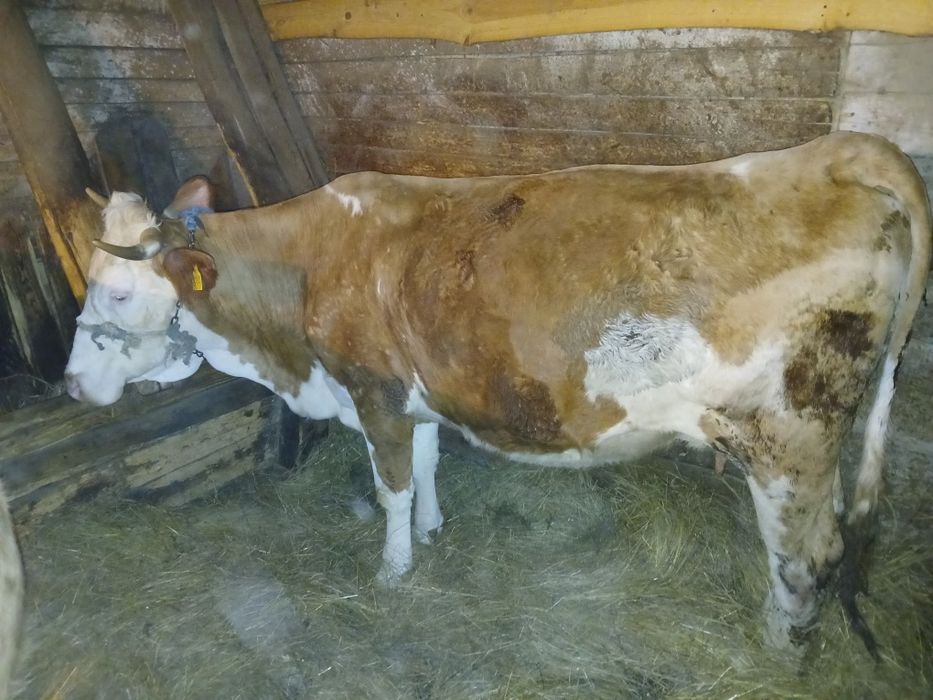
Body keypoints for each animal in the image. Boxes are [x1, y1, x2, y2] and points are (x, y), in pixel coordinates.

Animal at [64, 132, 931, 656]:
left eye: (115, 292)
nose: (69, 381)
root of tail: (833, 150)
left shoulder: (372, 391)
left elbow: (390, 485)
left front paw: (394, 570)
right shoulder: (413, 395)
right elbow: (426, 465)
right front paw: (432, 528)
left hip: (787, 439)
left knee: (805, 555)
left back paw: (778, 647)